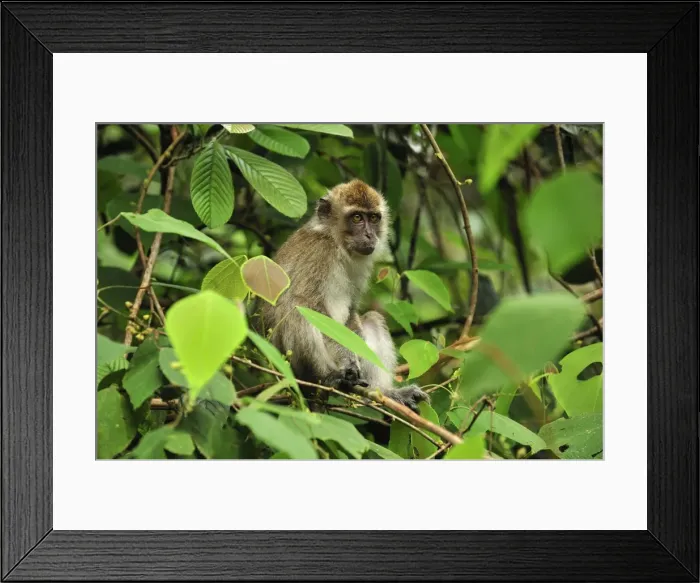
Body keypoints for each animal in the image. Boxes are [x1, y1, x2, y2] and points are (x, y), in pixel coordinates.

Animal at [260, 179, 428, 412]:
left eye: (373, 218)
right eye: (357, 217)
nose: (370, 235)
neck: (337, 244)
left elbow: (351, 312)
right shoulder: (319, 254)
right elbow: (310, 304)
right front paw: (348, 361)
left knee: (372, 319)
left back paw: (383, 393)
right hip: (288, 363)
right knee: (298, 309)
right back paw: (327, 378)